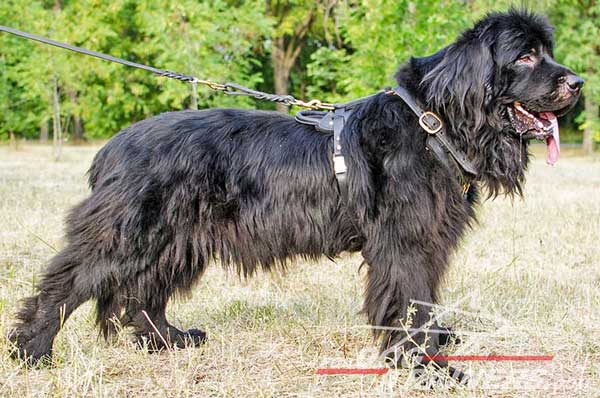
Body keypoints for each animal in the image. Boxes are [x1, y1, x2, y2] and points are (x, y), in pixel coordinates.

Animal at [9, 8, 580, 374]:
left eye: (547, 52)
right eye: (525, 57)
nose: (576, 83)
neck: (433, 121)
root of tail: (112, 148)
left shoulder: (430, 239)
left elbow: (425, 299)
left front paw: (435, 348)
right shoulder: (405, 241)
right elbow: (408, 298)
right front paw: (426, 366)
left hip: (175, 239)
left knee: (142, 295)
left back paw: (169, 341)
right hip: (129, 232)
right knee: (66, 283)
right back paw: (31, 352)